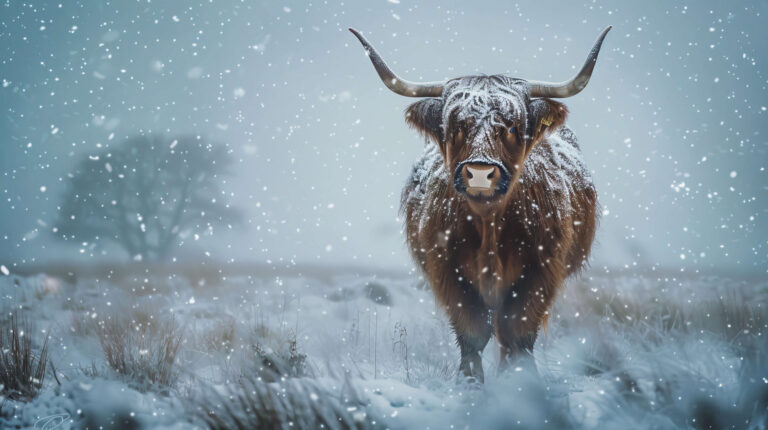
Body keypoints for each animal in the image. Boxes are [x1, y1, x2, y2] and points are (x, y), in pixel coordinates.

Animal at [350, 27, 609, 382]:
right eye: (456, 127)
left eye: (512, 126)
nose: (480, 173)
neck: (489, 222)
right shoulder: (447, 270)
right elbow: (472, 332)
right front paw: (471, 383)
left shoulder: (542, 269)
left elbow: (517, 332)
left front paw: (521, 383)